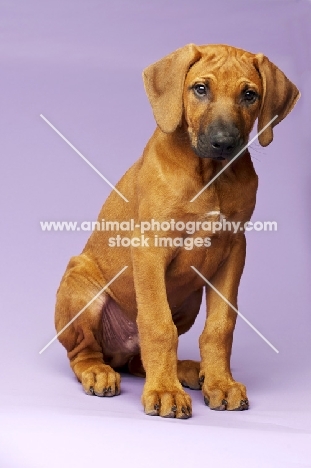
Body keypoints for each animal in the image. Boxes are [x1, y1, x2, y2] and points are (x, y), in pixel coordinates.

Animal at [54, 43, 302, 416]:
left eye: (249, 95)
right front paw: (165, 392)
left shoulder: (234, 250)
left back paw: (188, 370)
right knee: (83, 352)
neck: (209, 174)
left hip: (190, 300)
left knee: (139, 362)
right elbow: (158, 325)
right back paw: (99, 372)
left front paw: (220, 383)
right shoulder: (150, 247)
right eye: (200, 89)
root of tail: (118, 353)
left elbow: (220, 327)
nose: (224, 143)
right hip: (81, 287)